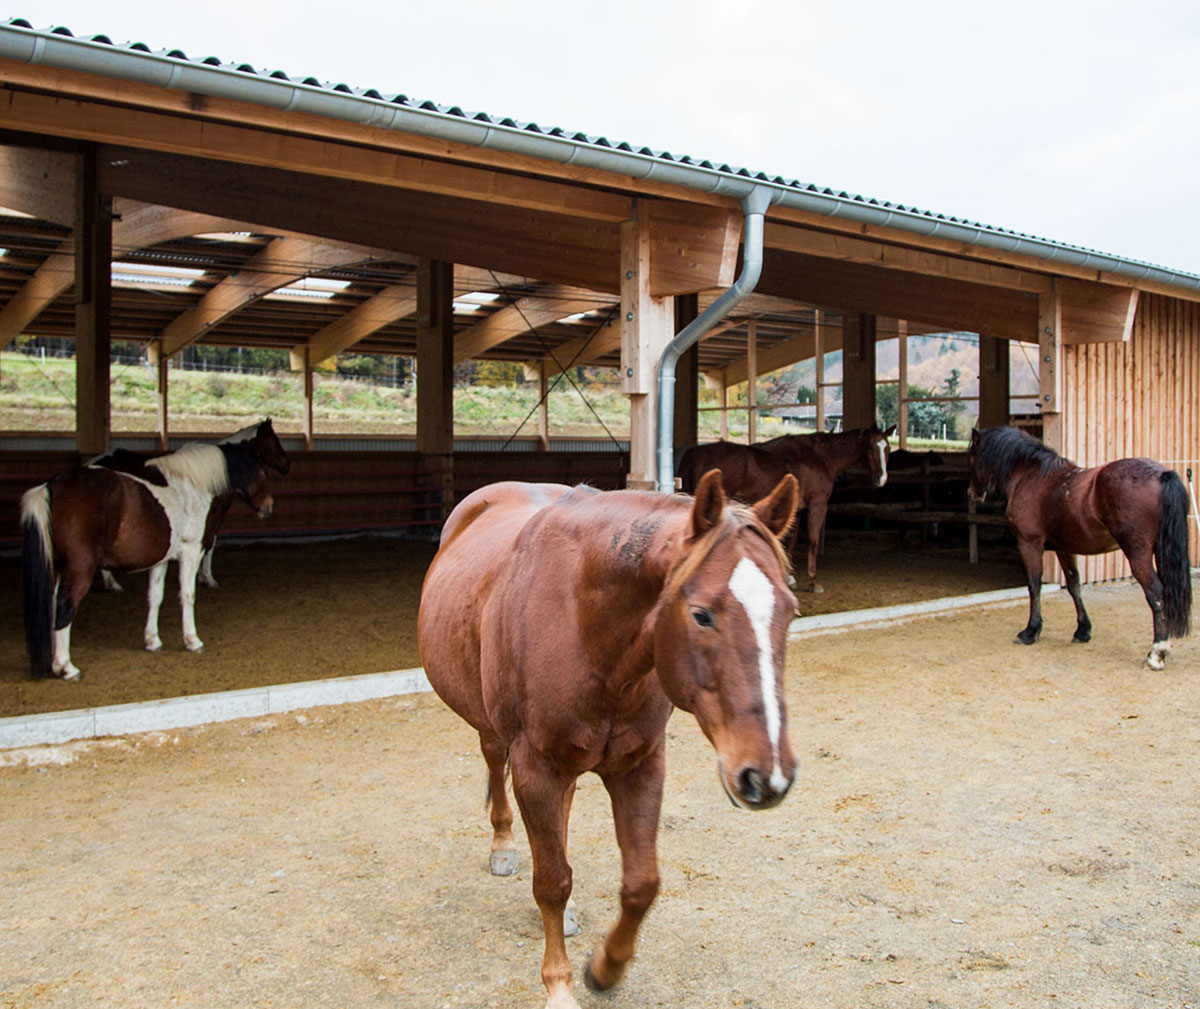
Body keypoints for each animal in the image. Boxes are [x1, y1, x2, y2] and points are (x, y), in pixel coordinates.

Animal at [417, 470, 801, 1007]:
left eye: (791, 610)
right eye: (701, 614)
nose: (767, 777)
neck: (586, 625)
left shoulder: (639, 765)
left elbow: (641, 884)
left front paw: (606, 968)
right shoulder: (535, 766)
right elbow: (551, 882)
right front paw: (559, 987)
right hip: (494, 728)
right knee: (495, 764)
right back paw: (504, 847)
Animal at [676, 422, 892, 590]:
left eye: (887, 448)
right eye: (871, 447)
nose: (881, 478)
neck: (820, 457)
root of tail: (694, 454)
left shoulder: (796, 508)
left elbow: (792, 541)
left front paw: (789, 577)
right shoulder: (817, 504)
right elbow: (812, 541)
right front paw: (813, 582)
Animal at [969, 424, 1195, 667]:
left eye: (972, 458)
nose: (972, 493)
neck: (1030, 476)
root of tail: (1161, 475)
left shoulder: (1029, 545)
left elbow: (1034, 585)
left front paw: (1031, 631)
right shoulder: (1064, 548)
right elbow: (1074, 585)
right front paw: (1083, 630)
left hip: (1138, 554)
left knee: (1156, 593)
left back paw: (1157, 652)